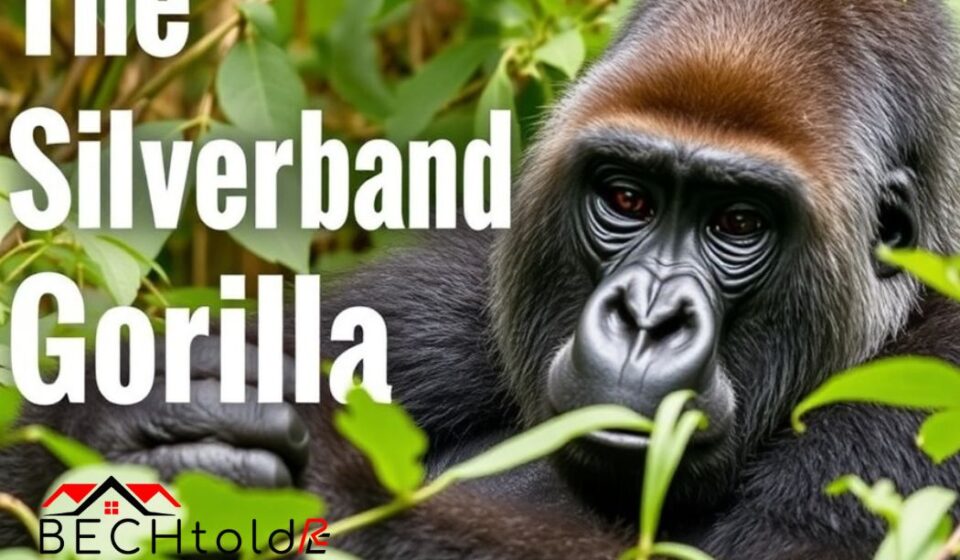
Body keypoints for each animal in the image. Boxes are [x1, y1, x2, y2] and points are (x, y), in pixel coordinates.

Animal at [4, 0, 960, 558]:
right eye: (626, 197)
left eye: (738, 224)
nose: (646, 319)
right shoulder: (455, 290)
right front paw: (124, 411)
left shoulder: (924, 399)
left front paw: (320, 486)